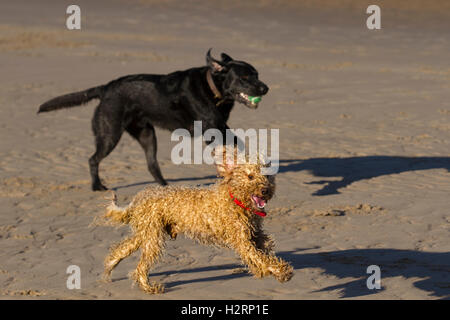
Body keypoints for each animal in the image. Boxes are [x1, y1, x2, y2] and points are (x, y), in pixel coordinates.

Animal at [37, 49, 268, 190]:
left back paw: (166, 188)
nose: (265, 88)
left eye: (257, 74)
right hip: (110, 134)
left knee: (151, 164)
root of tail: (105, 88)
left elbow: (238, 143)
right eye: (244, 78)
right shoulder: (211, 129)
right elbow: (232, 145)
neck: (212, 88)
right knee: (93, 159)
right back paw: (97, 187)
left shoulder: (221, 125)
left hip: (147, 134)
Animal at [99, 146, 292, 294]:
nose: (265, 190)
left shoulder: (253, 233)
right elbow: (258, 256)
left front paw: (263, 269)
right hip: (153, 237)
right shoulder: (241, 239)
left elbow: (264, 246)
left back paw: (110, 265)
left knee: (123, 248)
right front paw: (281, 271)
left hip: (146, 232)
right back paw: (149, 287)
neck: (235, 199)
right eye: (250, 177)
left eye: (267, 176)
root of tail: (139, 198)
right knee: (141, 266)